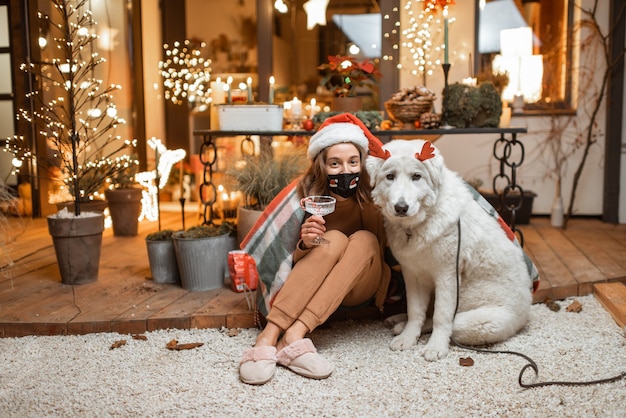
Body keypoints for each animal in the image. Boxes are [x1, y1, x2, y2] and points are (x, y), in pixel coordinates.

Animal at [366, 140, 536, 362]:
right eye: (390, 176)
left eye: (416, 177)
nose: (401, 207)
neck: (418, 224)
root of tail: (525, 314)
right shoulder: (413, 274)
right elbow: (415, 311)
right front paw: (408, 337)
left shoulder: (447, 275)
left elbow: (441, 316)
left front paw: (436, 346)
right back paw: (399, 322)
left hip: (474, 322)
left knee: (449, 324)